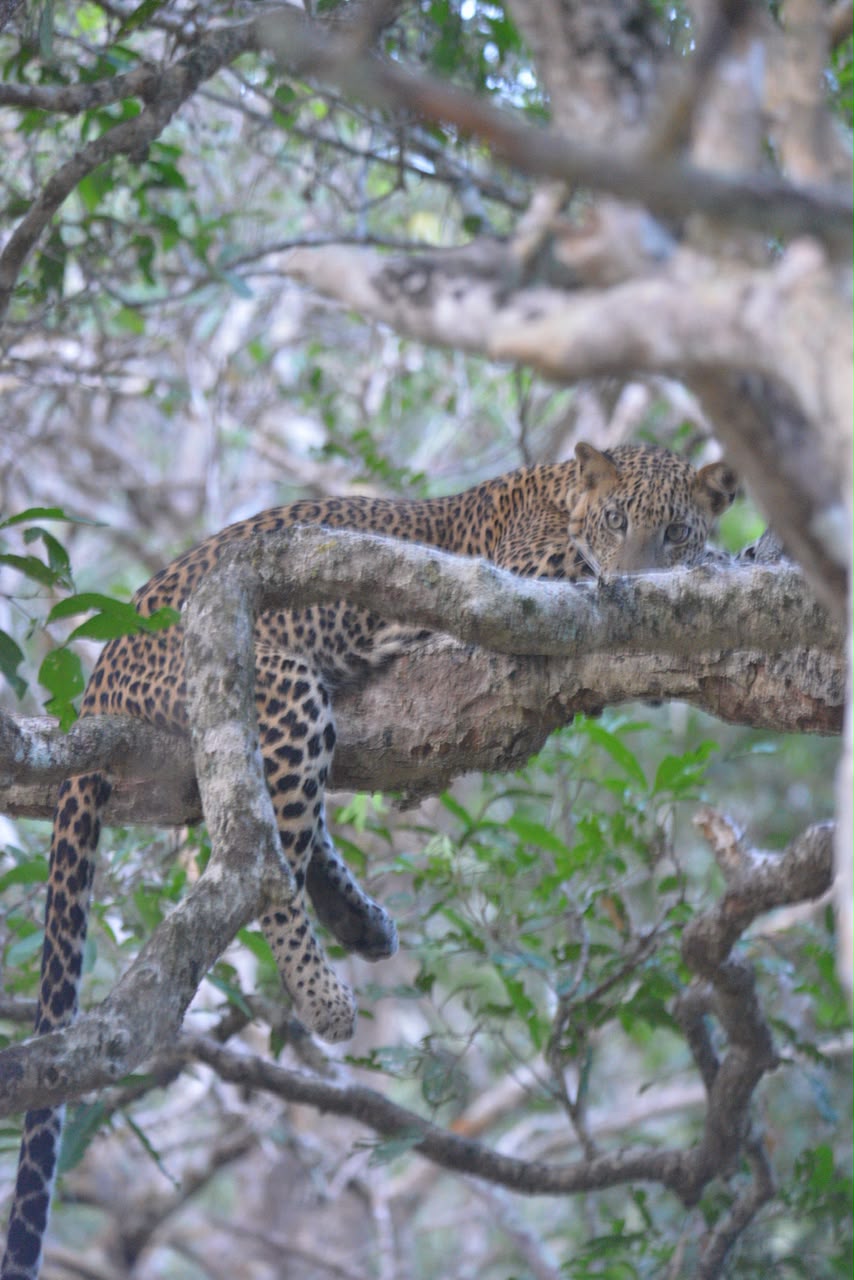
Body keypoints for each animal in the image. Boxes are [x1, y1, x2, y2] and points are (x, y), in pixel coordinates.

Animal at [1, 441, 736, 1280]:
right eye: (616, 522)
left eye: (672, 532)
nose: (640, 579)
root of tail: (97, 679)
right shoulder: (524, 581)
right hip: (277, 682)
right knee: (266, 868)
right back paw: (323, 992)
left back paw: (359, 920)